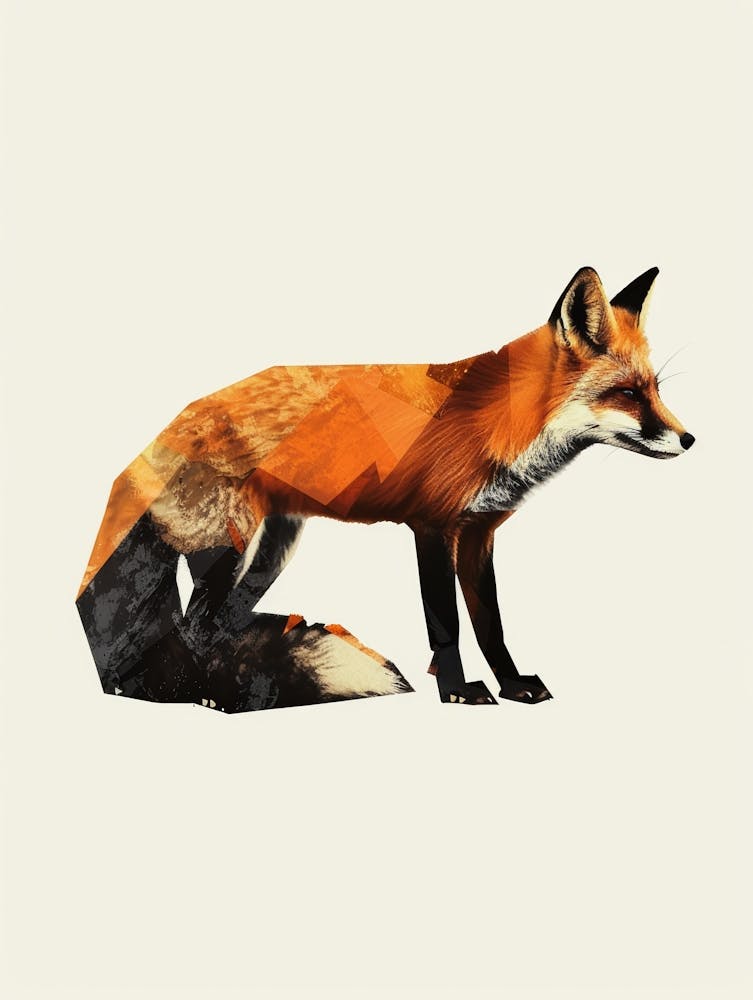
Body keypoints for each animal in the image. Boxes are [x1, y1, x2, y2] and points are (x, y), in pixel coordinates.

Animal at [77, 265, 693, 709]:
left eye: (656, 389)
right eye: (627, 393)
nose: (689, 439)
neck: (499, 421)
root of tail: (171, 423)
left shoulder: (479, 533)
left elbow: (490, 624)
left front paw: (513, 686)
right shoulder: (431, 526)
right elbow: (446, 624)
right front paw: (459, 692)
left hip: (270, 553)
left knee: (217, 629)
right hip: (233, 550)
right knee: (193, 629)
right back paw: (211, 695)